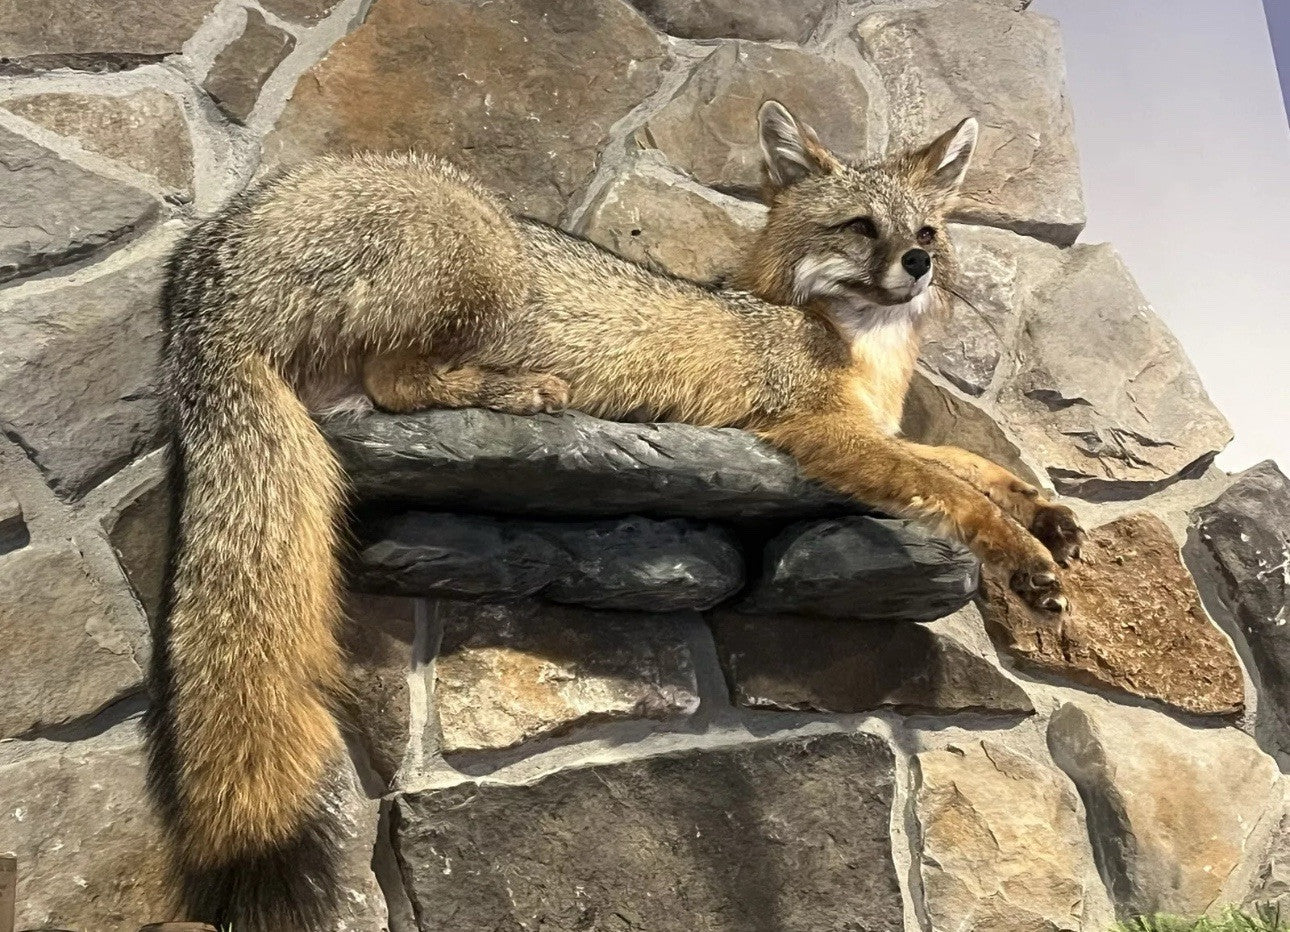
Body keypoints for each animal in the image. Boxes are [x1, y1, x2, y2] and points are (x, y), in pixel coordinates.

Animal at [148, 100, 1085, 929]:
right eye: (861, 228)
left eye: (925, 233)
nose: (919, 268)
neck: (856, 346)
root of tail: (211, 258)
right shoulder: (818, 434)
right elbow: (952, 488)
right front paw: (1023, 559)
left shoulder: (874, 431)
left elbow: (966, 461)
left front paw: (1048, 511)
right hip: (483, 248)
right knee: (394, 384)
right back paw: (521, 389)